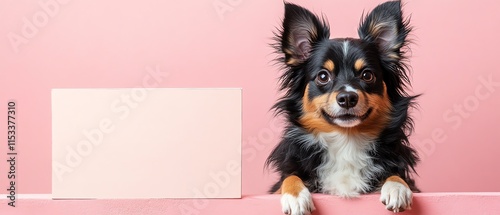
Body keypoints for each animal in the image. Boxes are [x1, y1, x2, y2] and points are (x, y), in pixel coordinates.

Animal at [268, 0, 420, 214]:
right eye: (323, 76)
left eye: (367, 75)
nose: (347, 98)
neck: (346, 139)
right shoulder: (281, 180)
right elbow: (289, 177)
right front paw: (295, 196)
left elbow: (396, 175)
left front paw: (397, 188)